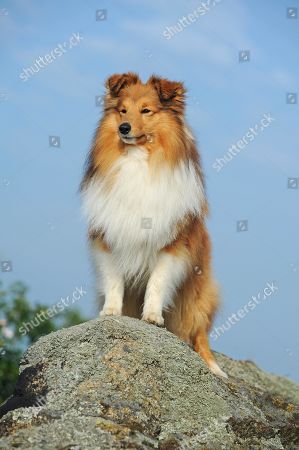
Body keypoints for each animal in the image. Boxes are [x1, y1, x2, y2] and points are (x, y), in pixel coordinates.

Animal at [81, 72, 226, 378]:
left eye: (146, 111)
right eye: (122, 110)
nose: (123, 128)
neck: (138, 160)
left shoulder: (173, 245)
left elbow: (157, 281)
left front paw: (152, 316)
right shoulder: (108, 236)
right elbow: (113, 279)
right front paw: (111, 311)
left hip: (199, 295)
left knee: (200, 334)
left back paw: (215, 368)